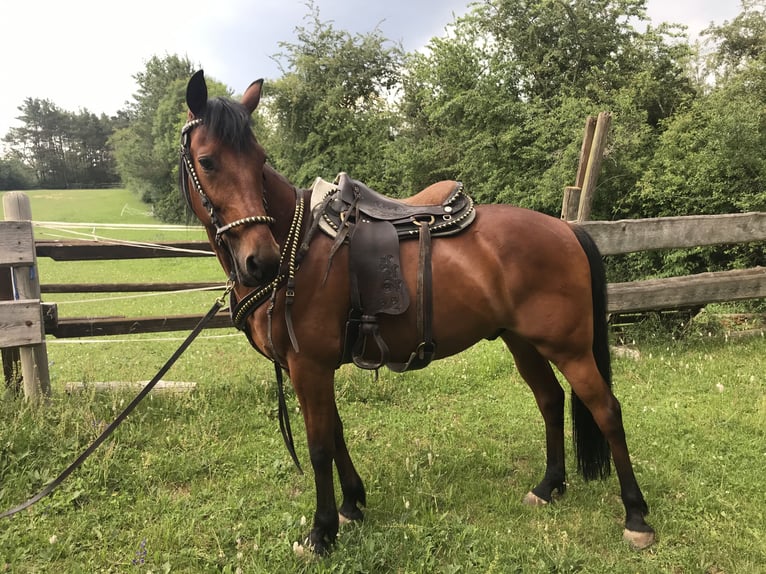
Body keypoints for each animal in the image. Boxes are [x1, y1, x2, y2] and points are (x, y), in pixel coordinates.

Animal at [178, 70, 656, 556]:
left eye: (259, 160)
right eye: (208, 161)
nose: (261, 261)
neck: (301, 247)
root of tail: (568, 229)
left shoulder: (309, 366)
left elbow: (318, 446)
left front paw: (322, 531)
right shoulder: (312, 369)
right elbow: (336, 432)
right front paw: (352, 505)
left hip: (570, 348)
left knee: (607, 410)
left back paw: (636, 516)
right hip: (522, 341)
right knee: (550, 399)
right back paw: (548, 486)